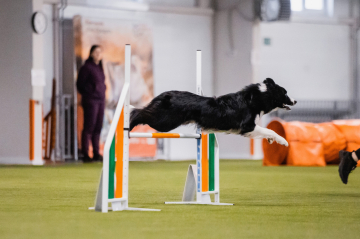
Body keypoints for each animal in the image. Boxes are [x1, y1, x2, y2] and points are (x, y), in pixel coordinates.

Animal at [129, 77, 296, 147]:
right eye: (285, 93)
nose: (295, 101)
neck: (257, 98)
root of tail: (165, 94)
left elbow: (267, 132)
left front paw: (271, 140)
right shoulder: (247, 126)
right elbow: (270, 130)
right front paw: (283, 141)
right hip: (164, 122)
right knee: (139, 113)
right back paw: (128, 117)